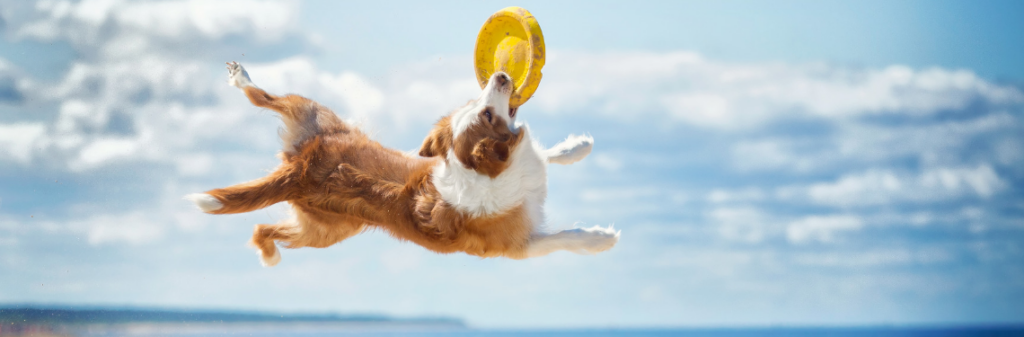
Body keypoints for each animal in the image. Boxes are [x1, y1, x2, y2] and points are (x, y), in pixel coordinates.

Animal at [183, 60, 614, 264]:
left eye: (477, 104)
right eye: (485, 113)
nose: (501, 75)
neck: (487, 171)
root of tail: (300, 166)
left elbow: (545, 156)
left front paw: (578, 146)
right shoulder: (515, 245)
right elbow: (563, 237)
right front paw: (600, 238)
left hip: (316, 124)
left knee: (264, 101)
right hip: (326, 232)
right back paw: (270, 257)